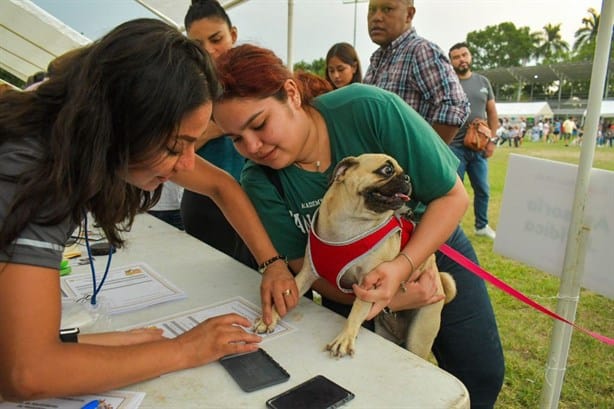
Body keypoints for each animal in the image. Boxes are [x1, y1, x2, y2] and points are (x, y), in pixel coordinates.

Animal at [255, 152, 458, 356]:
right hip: (385, 330)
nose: (408, 178)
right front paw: (270, 317)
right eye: (387, 170)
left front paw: (344, 338)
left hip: (418, 336)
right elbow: (291, 291)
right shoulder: (307, 274)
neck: (350, 222)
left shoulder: (369, 285)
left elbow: (357, 310)